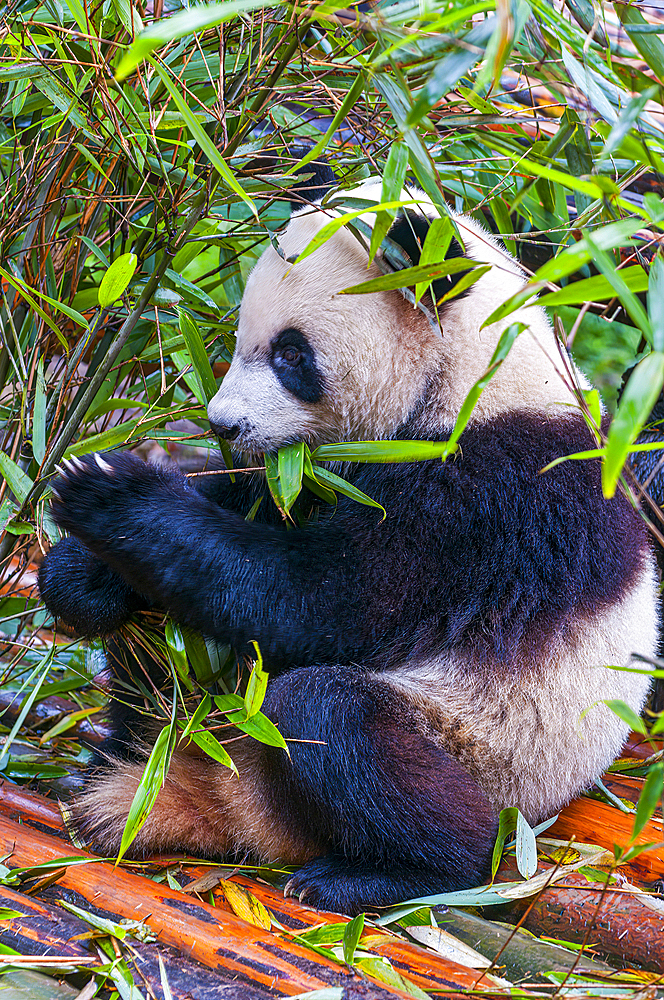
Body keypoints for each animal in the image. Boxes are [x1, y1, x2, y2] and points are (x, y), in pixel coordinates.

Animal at [39, 184, 656, 916]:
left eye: (290, 355)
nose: (223, 424)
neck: (475, 370)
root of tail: (235, 804)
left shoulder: (493, 495)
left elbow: (325, 601)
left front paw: (110, 493)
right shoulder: (315, 472)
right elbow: (255, 501)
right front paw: (78, 574)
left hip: (485, 749)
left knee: (337, 720)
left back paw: (384, 873)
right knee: (163, 654)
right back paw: (120, 757)